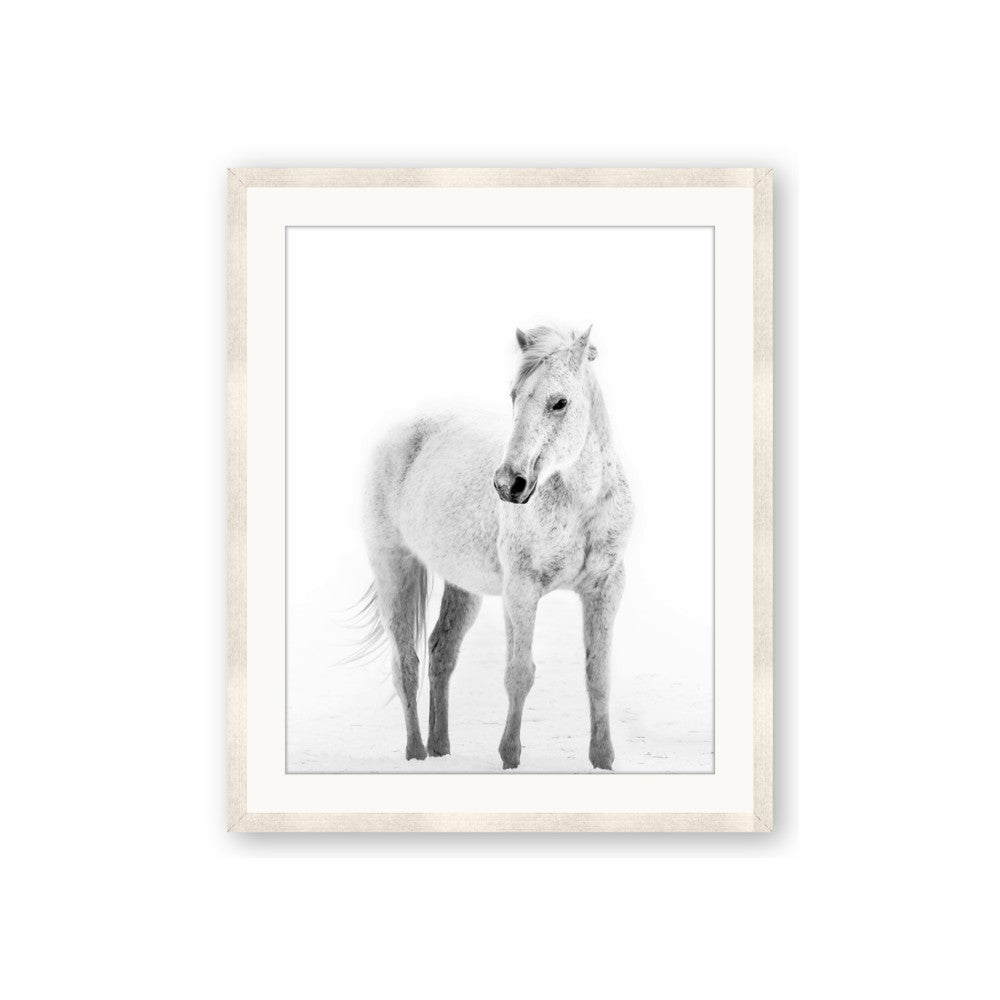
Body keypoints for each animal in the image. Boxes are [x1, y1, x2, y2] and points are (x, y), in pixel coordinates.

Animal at [353, 324, 634, 769]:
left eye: (560, 402)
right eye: (514, 395)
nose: (508, 484)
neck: (581, 504)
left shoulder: (606, 588)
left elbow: (598, 675)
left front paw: (603, 759)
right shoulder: (521, 590)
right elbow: (519, 673)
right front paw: (510, 756)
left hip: (462, 586)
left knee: (441, 652)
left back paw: (441, 747)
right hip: (394, 569)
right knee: (406, 665)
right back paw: (416, 753)